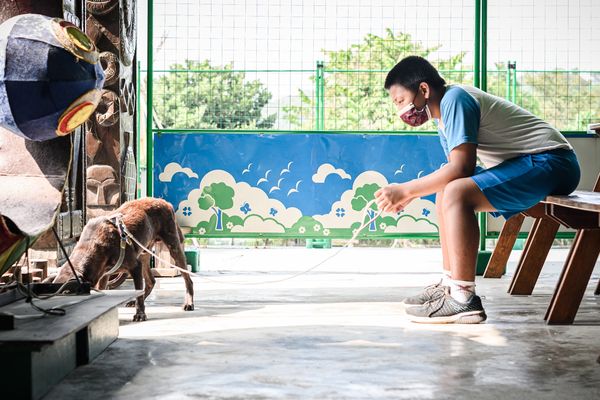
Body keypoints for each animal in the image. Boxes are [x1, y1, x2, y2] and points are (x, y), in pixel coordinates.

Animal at [51, 198, 193, 322]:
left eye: (67, 293)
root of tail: (164, 202)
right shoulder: (103, 275)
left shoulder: (135, 267)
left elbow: (138, 293)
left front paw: (140, 314)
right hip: (144, 252)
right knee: (151, 281)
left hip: (174, 247)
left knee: (187, 278)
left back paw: (189, 303)